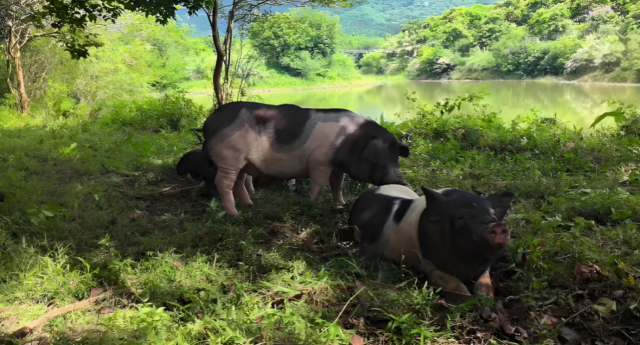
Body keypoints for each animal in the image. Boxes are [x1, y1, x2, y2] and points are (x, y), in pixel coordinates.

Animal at [200, 101, 410, 216]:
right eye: (380, 157)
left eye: (396, 157)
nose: (402, 182)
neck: (350, 140)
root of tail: (209, 122)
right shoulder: (320, 161)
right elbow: (319, 183)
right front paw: (313, 204)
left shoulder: (337, 166)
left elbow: (337, 184)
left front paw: (340, 204)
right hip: (229, 158)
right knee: (223, 183)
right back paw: (234, 214)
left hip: (243, 162)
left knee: (238, 182)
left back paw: (250, 206)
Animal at [348, 184, 512, 300]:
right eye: (460, 216)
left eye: (492, 212)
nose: (496, 225)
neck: (468, 264)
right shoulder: (427, 265)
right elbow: (453, 283)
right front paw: (468, 300)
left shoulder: (485, 267)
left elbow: (485, 282)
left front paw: (486, 299)